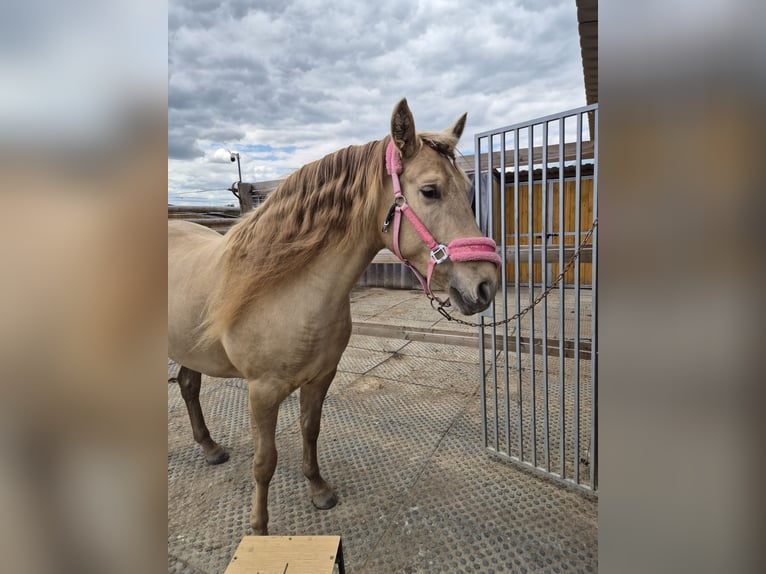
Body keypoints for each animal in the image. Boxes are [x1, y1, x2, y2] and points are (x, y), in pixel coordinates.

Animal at [168, 98, 500, 535]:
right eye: (430, 191)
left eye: (468, 190)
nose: (486, 286)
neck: (287, 290)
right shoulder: (261, 392)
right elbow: (265, 462)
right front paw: (259, 529)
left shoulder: (321, 377)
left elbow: (311, 432)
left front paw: (319, 490)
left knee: (189, 386)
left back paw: (209, 448)